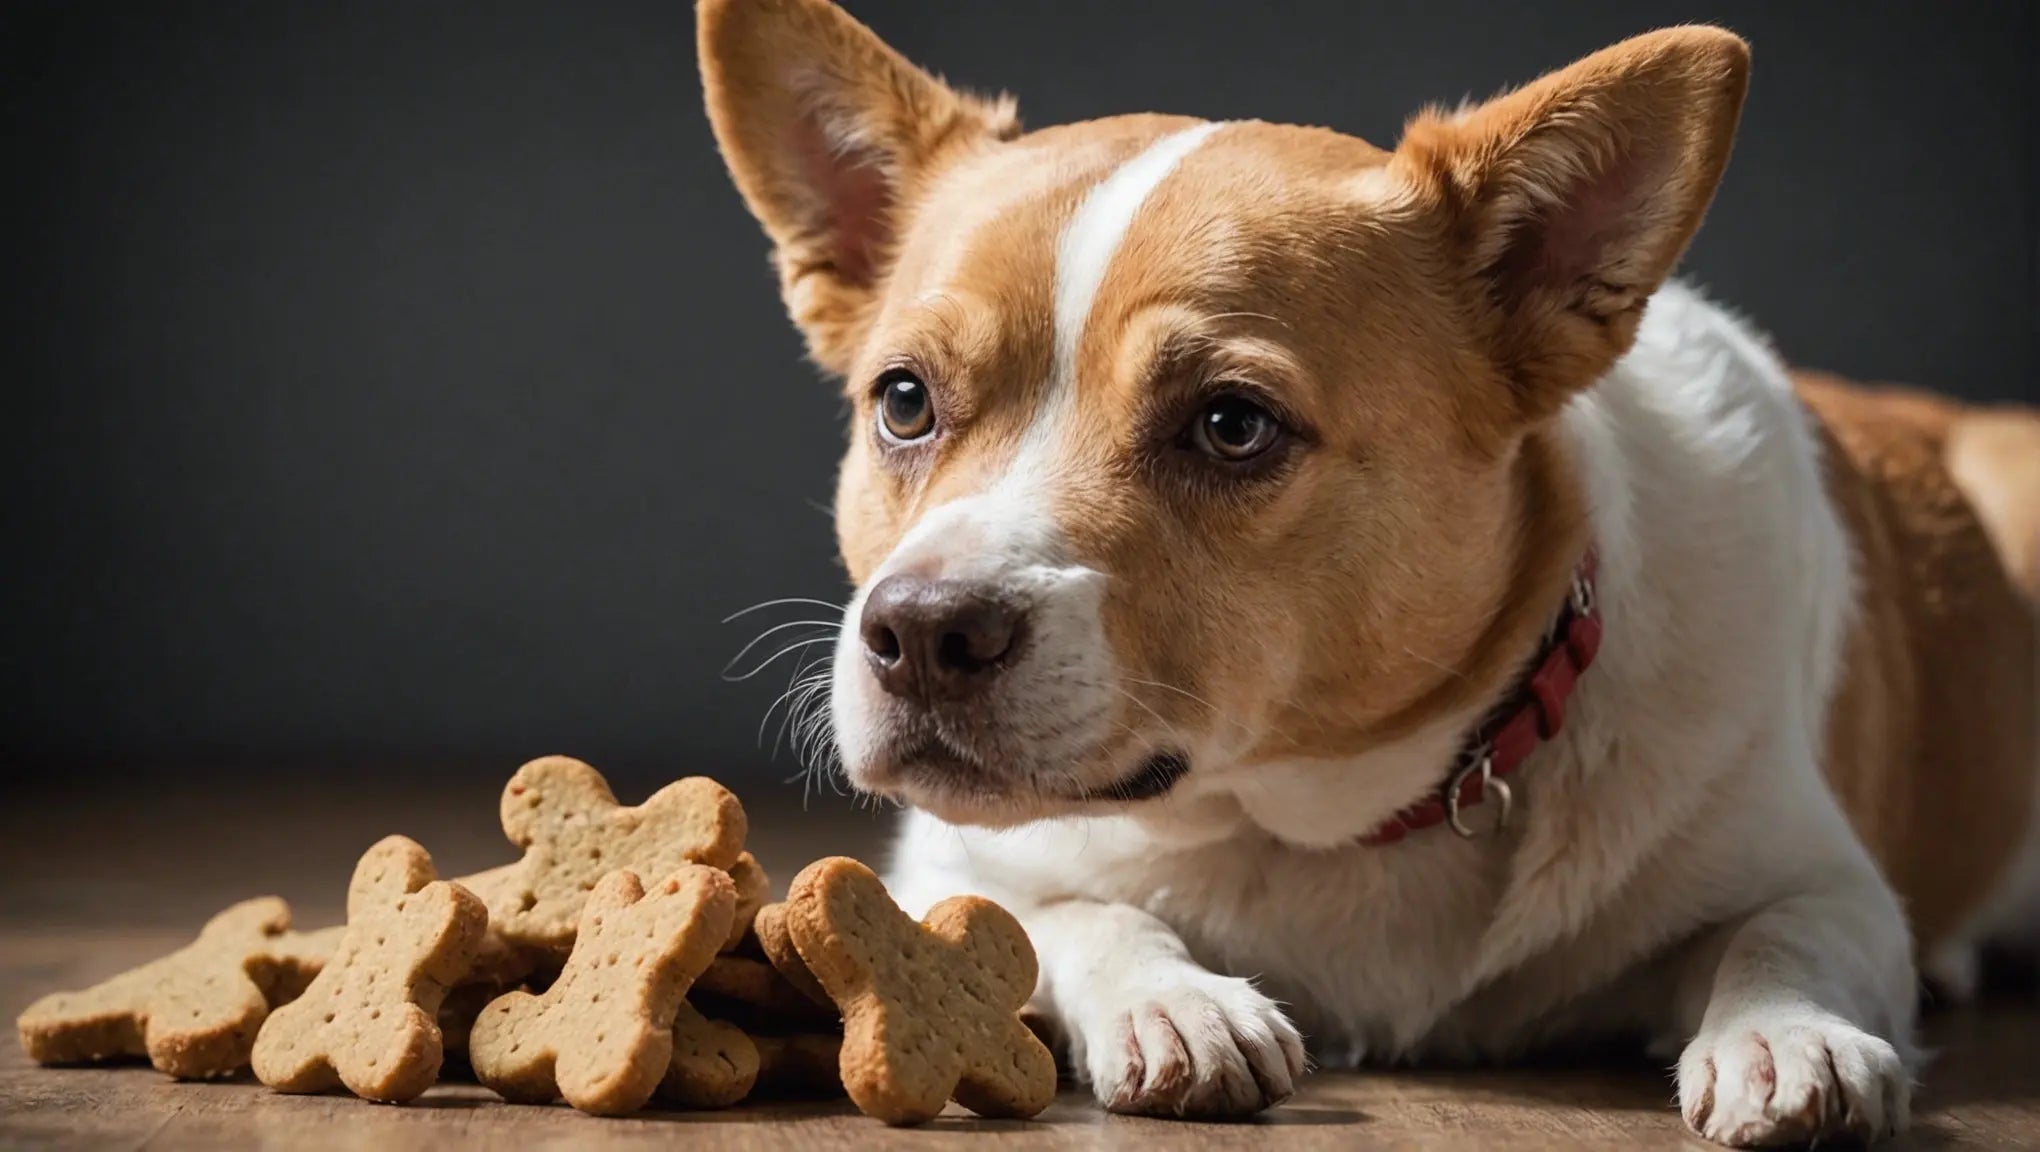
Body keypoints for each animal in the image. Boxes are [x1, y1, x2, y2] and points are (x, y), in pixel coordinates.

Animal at [697, 4, 2040, 1141]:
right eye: (904, 402)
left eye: (1231, 425)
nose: (922, 634)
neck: (1310, 818)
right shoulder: (949, 864)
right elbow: (1075, 913)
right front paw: (1175, 1002)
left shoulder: (1829, 881)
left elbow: (1786, 941)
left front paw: (1786, 1040)